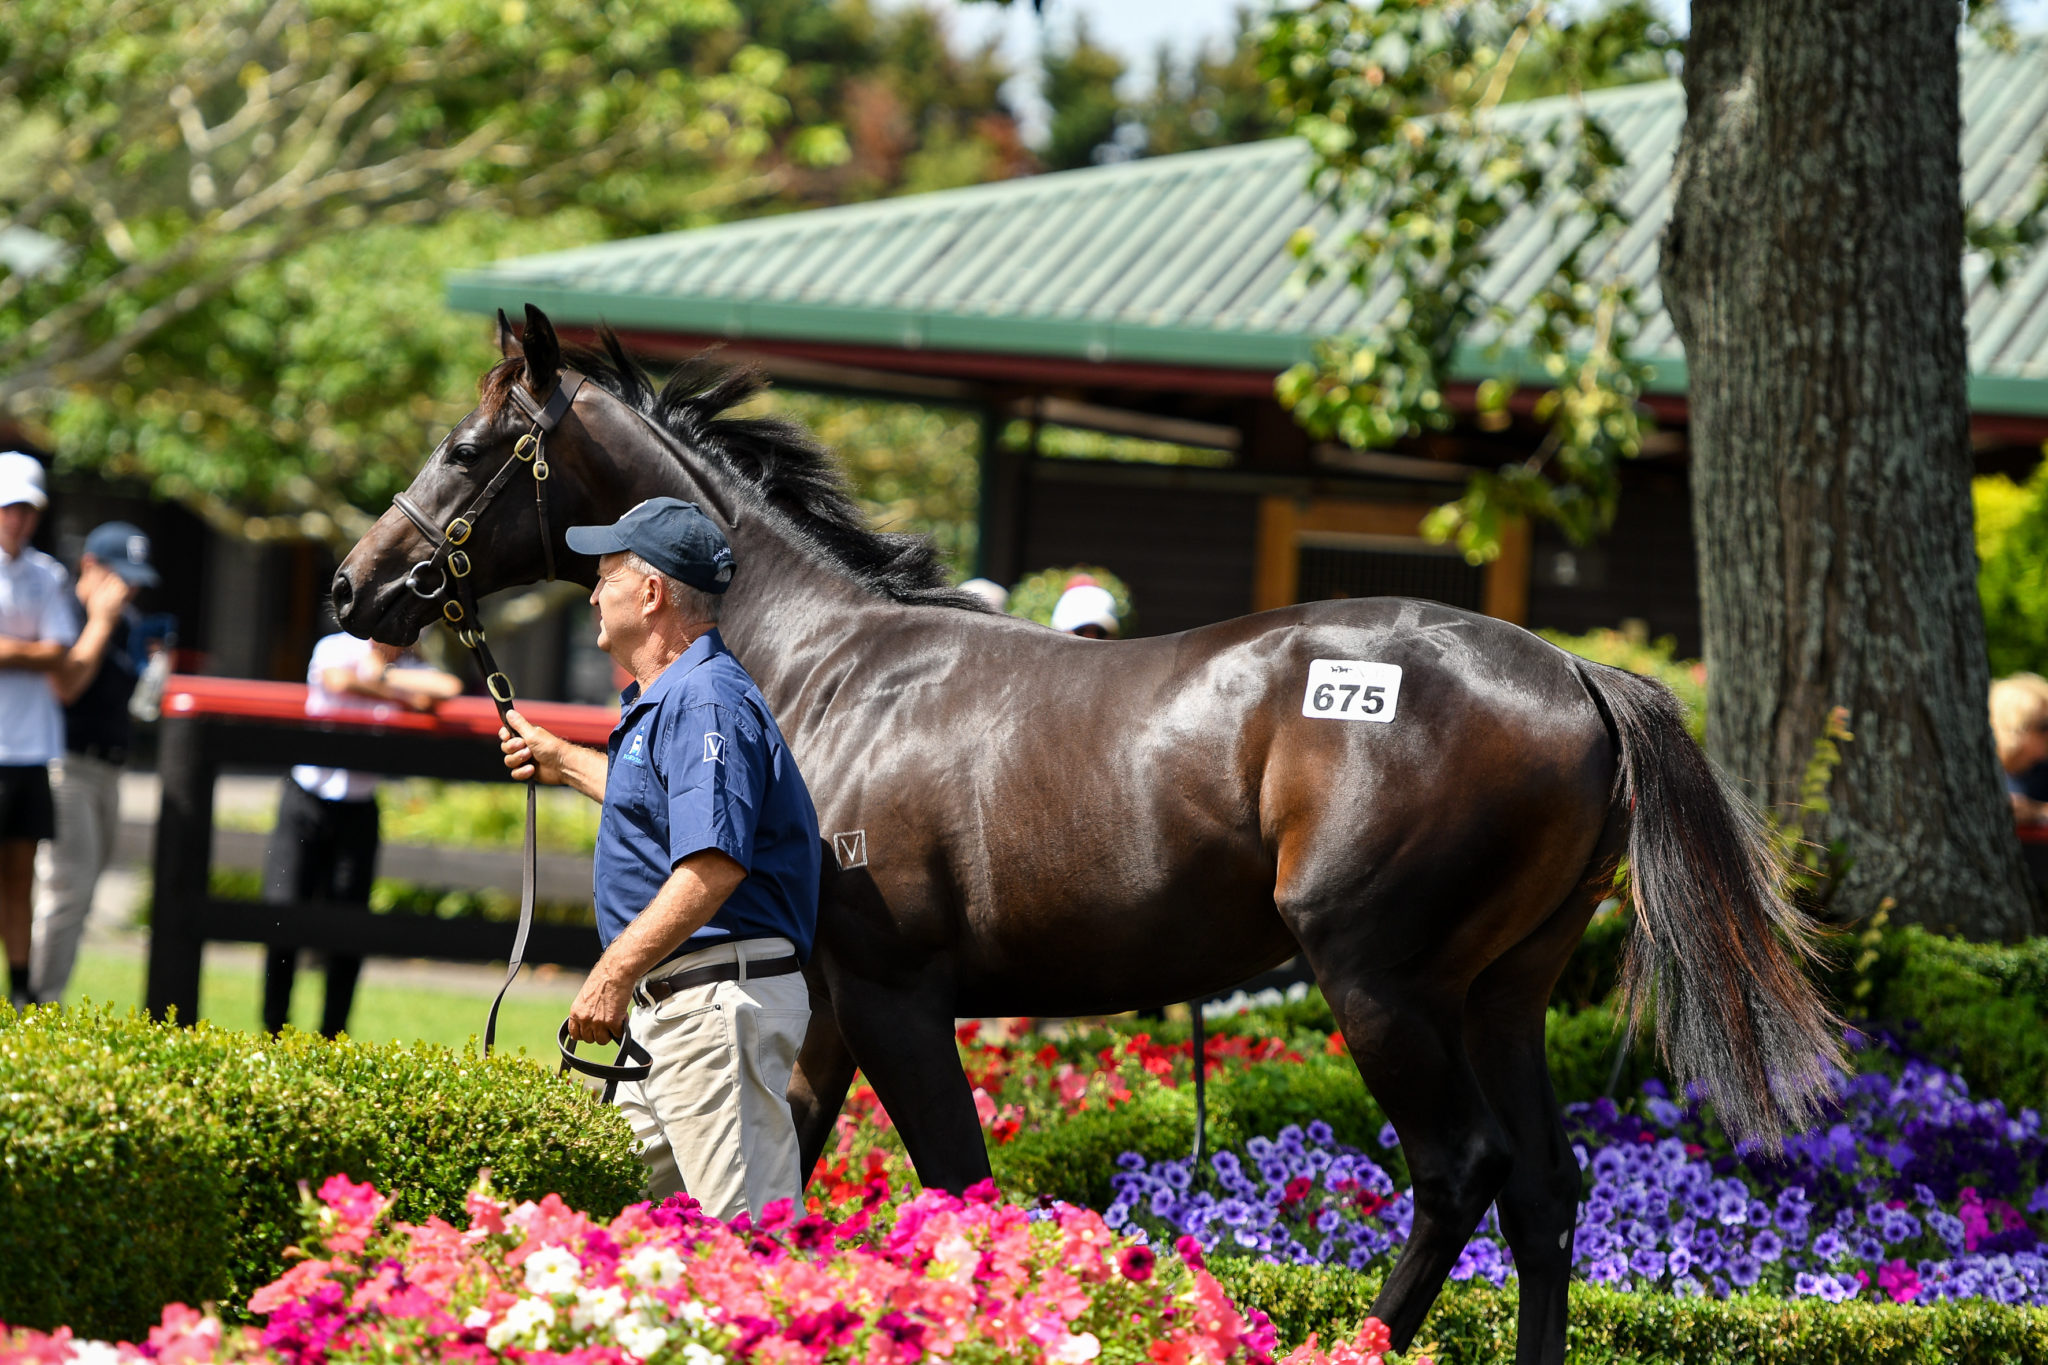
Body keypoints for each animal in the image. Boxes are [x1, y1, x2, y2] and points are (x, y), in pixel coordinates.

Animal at [331, 309, 1843, 1365]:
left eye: (468, 448)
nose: (356, 585)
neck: (822, 669)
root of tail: (1579, 674)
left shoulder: (895, 996)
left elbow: (959, 1188)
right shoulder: (816, 1001)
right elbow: (783, 1183)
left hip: (1381, 983)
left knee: (1458, 1169)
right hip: (1501, 994)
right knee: (1540, 1188)